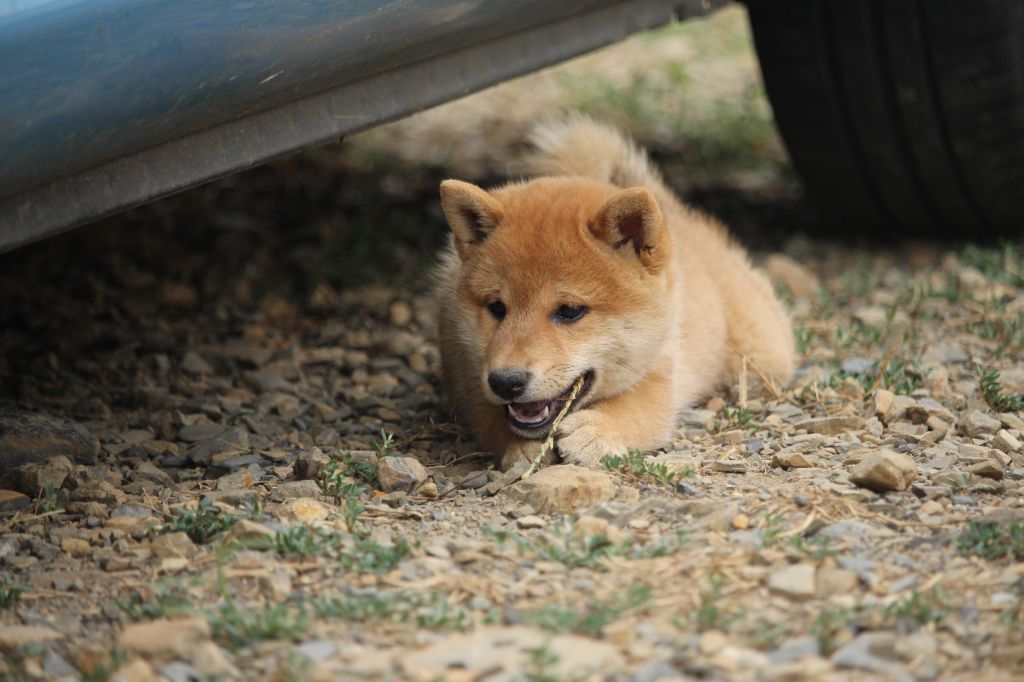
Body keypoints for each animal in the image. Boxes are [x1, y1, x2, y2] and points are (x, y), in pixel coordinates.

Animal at [434, 118, 794, 470]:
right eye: (497, 307)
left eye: (570, 310)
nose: (506, 382)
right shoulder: (468, 377)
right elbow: (491, 419)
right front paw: (522, 447)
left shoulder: (661, 374)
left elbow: (635, 408)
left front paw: (596, 431)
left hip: (760, 354)